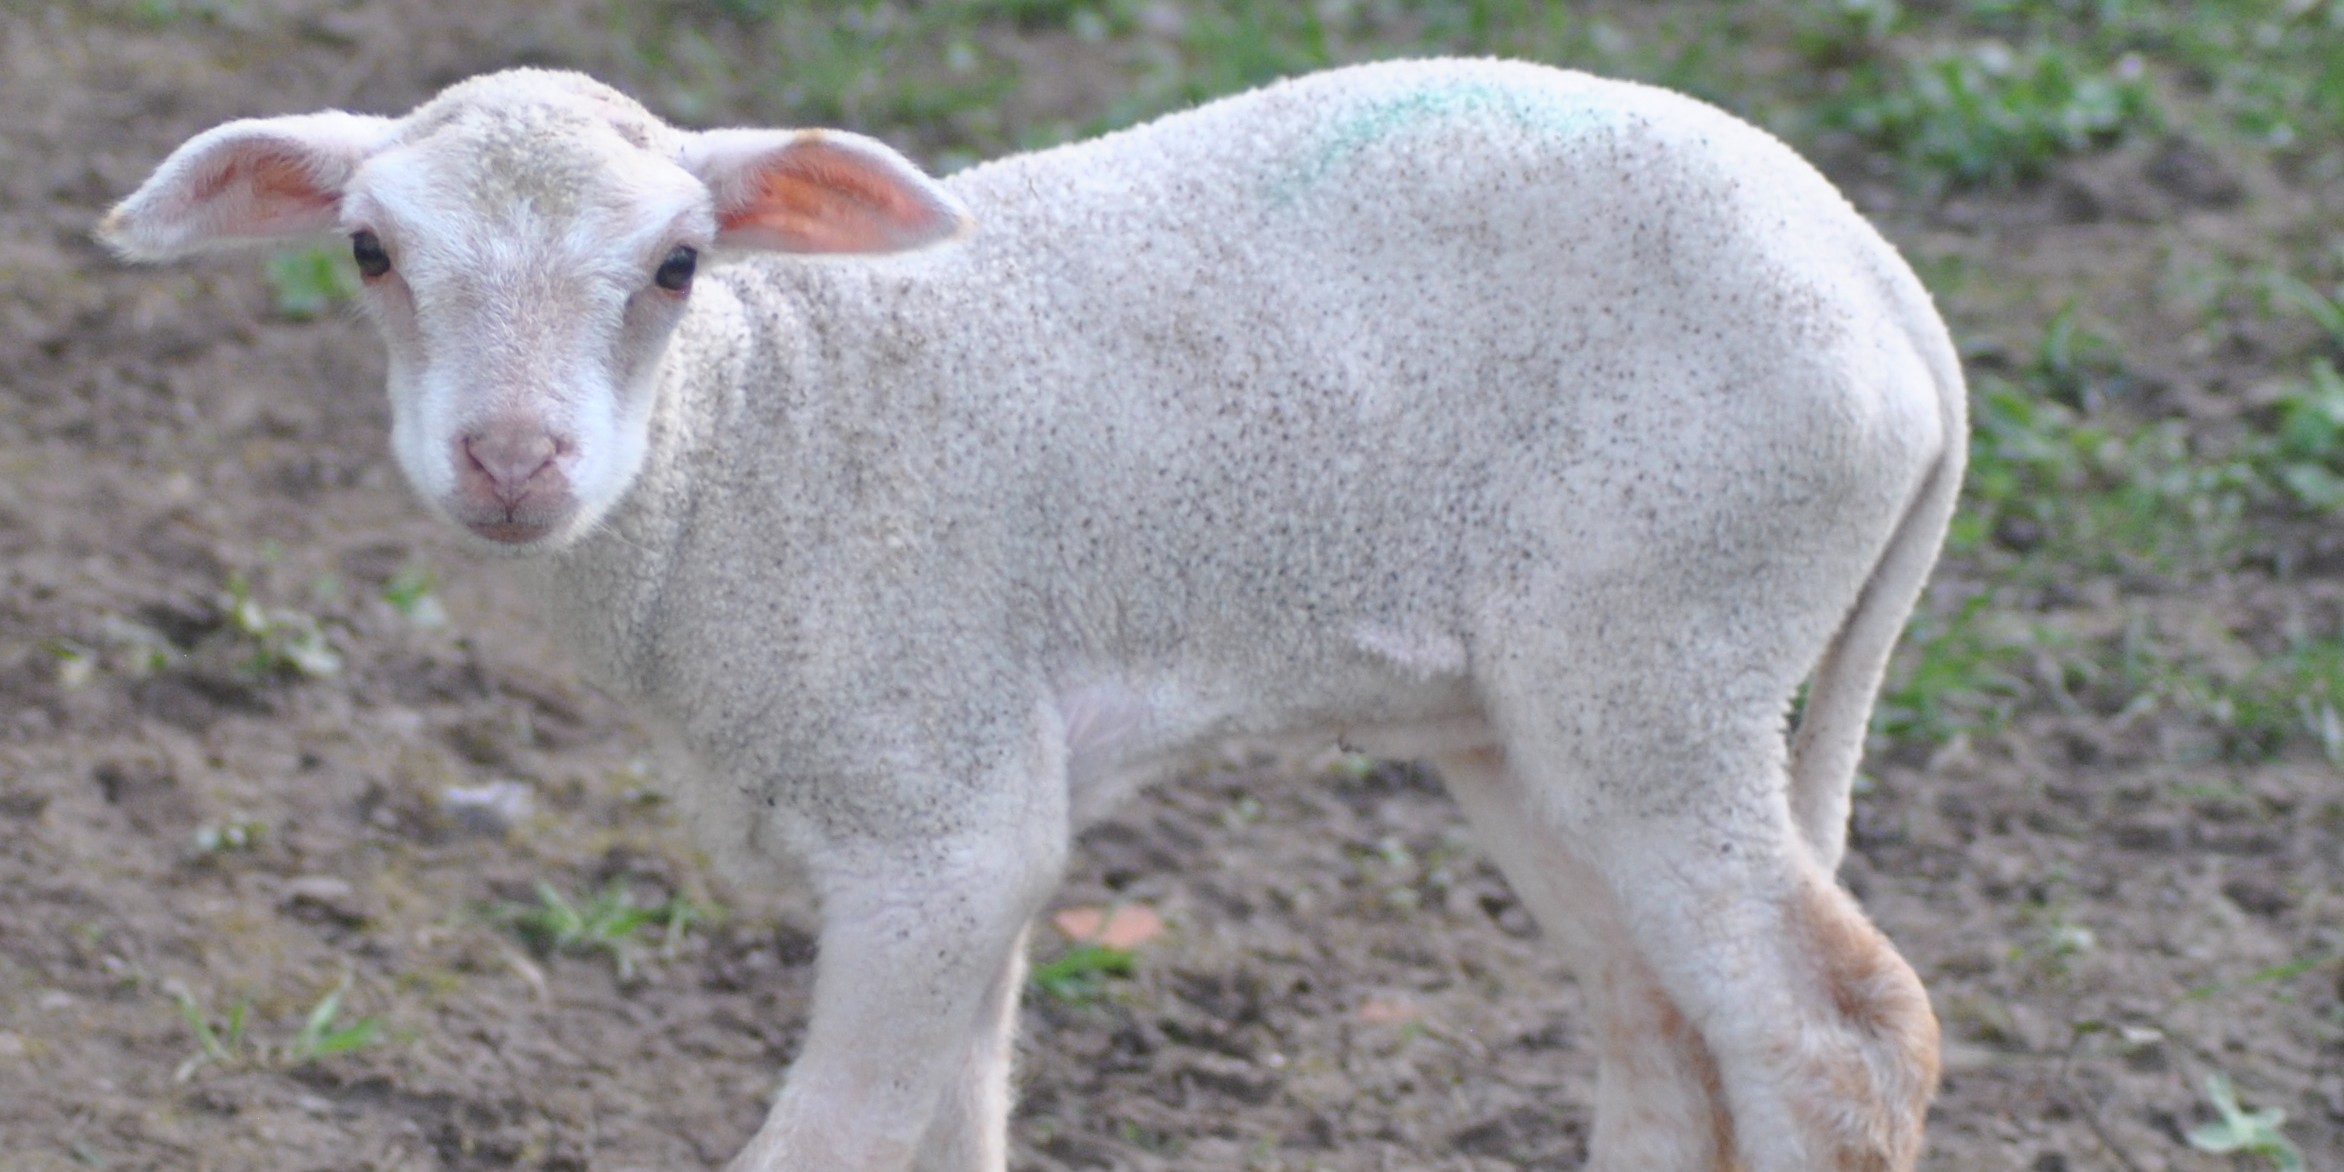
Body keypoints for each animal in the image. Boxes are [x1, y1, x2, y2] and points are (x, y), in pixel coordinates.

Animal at [110, 61, 1968, 1172]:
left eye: (676, 269)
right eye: (368, 252)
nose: (508, 460)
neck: (758, 437)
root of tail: (1890, 293)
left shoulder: (936, 808)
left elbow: (831, 1144)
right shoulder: (977, 818)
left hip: (1670, 629)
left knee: (1833, 1038)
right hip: (1538, 703)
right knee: (1665, 1031)